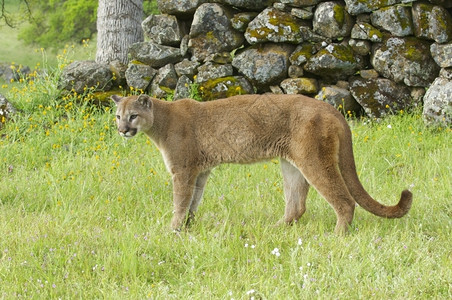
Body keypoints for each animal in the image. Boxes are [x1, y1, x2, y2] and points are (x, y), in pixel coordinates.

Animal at [111, 94, 412, 234]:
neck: (160, 121)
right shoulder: (200, 171)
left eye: (133, 115)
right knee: (297, 205)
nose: (122, 130)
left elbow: (180, 202)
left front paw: (172, 230)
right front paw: (187, 227)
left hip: (314, 160)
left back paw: (336, 236)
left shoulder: (182, 170)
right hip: (291, 164)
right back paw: (276, 229)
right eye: (117, 115)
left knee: (344, 200)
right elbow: (192, 202)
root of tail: (331, 108)